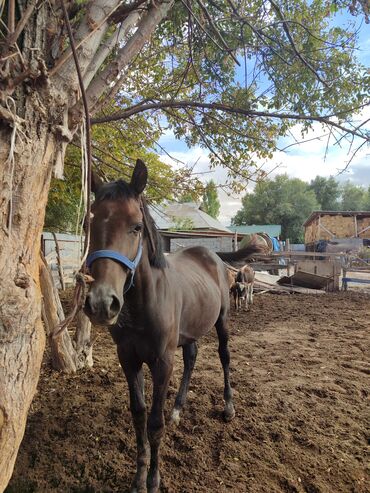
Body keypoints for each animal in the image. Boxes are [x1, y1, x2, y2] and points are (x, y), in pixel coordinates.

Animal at [82, 160, 264, 490]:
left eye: (136, 226)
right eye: (91, 223)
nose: (102, 302)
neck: (144, 303)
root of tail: (211, 254)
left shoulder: (162, 361)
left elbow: (155, 423)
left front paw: (154, 480)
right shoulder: (128, 359)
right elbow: (139, 415)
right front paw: (138, 478)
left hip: (222, 322)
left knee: (224, 357)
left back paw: (228, 408)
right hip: (190, 331)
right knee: (192, 358)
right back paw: (178, 410)